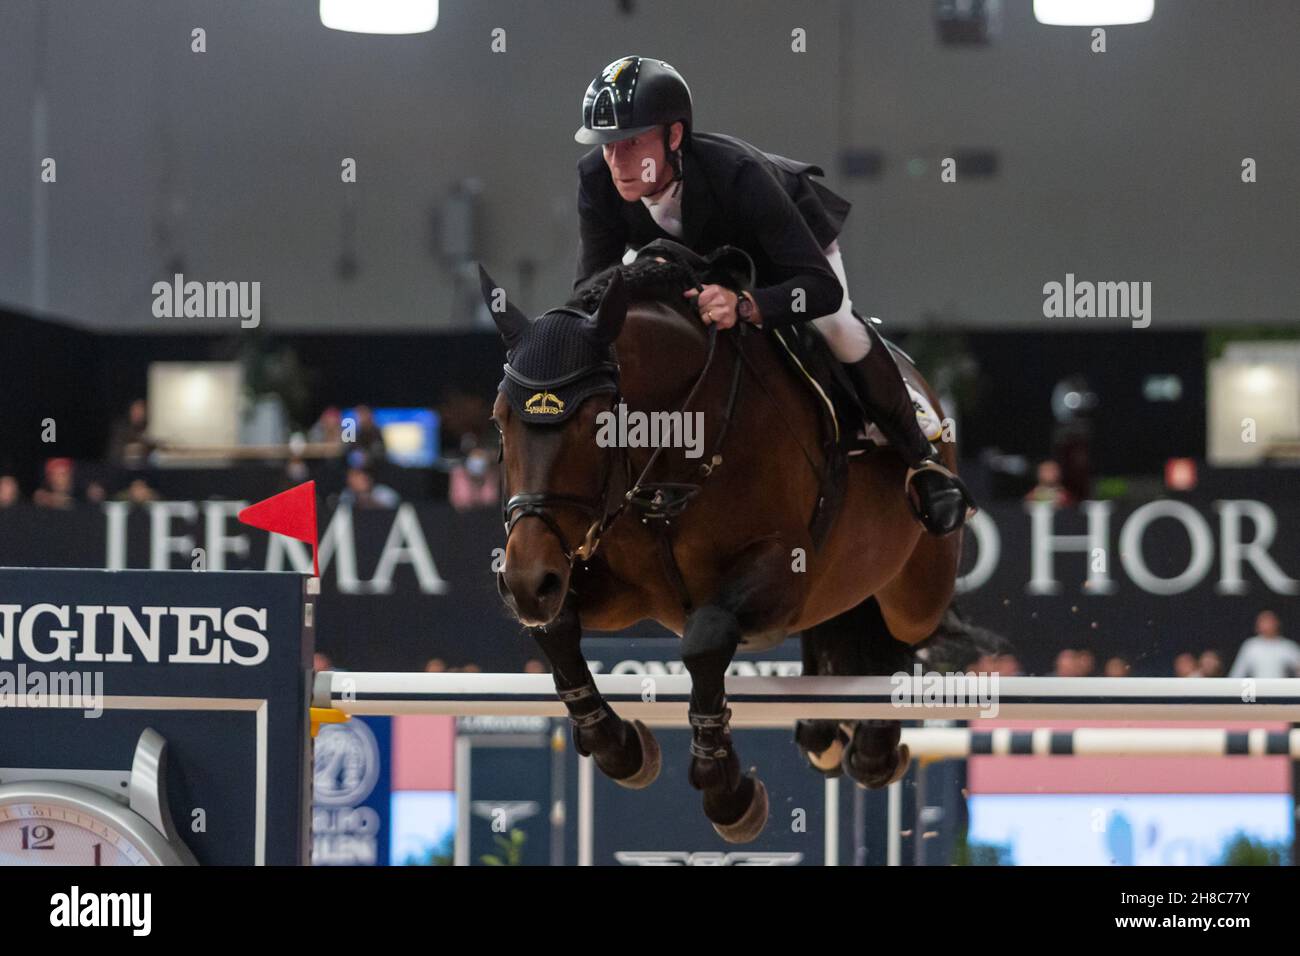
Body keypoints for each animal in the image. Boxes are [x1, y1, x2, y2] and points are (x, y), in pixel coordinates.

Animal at [483, 251, 972, 842]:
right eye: (499, 421)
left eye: (595, 423)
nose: (526, 583)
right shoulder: (616, 590)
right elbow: (557, 630)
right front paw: (620, 749)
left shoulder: (782, 571)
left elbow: (706, 639)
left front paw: (728, 794)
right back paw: (823, 732)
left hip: (916, 589)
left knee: (898, 635)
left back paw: (874, 747)